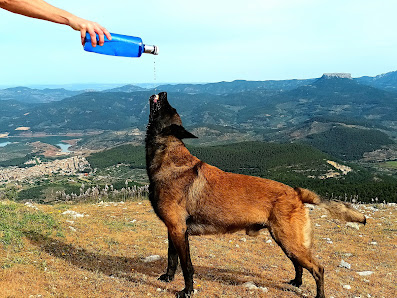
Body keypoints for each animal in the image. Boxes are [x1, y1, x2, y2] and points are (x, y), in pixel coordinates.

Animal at [145, 92, 366, 296]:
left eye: (168, 108)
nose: (163, 93)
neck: (169, 158)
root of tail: (296, 192)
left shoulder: (178, 230)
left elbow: (187, 266)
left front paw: (187, 290)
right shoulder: (174, 230)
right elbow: (172, 259)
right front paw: (168, 278)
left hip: (289, 241)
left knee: (318, 269)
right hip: (287, 242)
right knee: (299, 265)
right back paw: (296, 282)